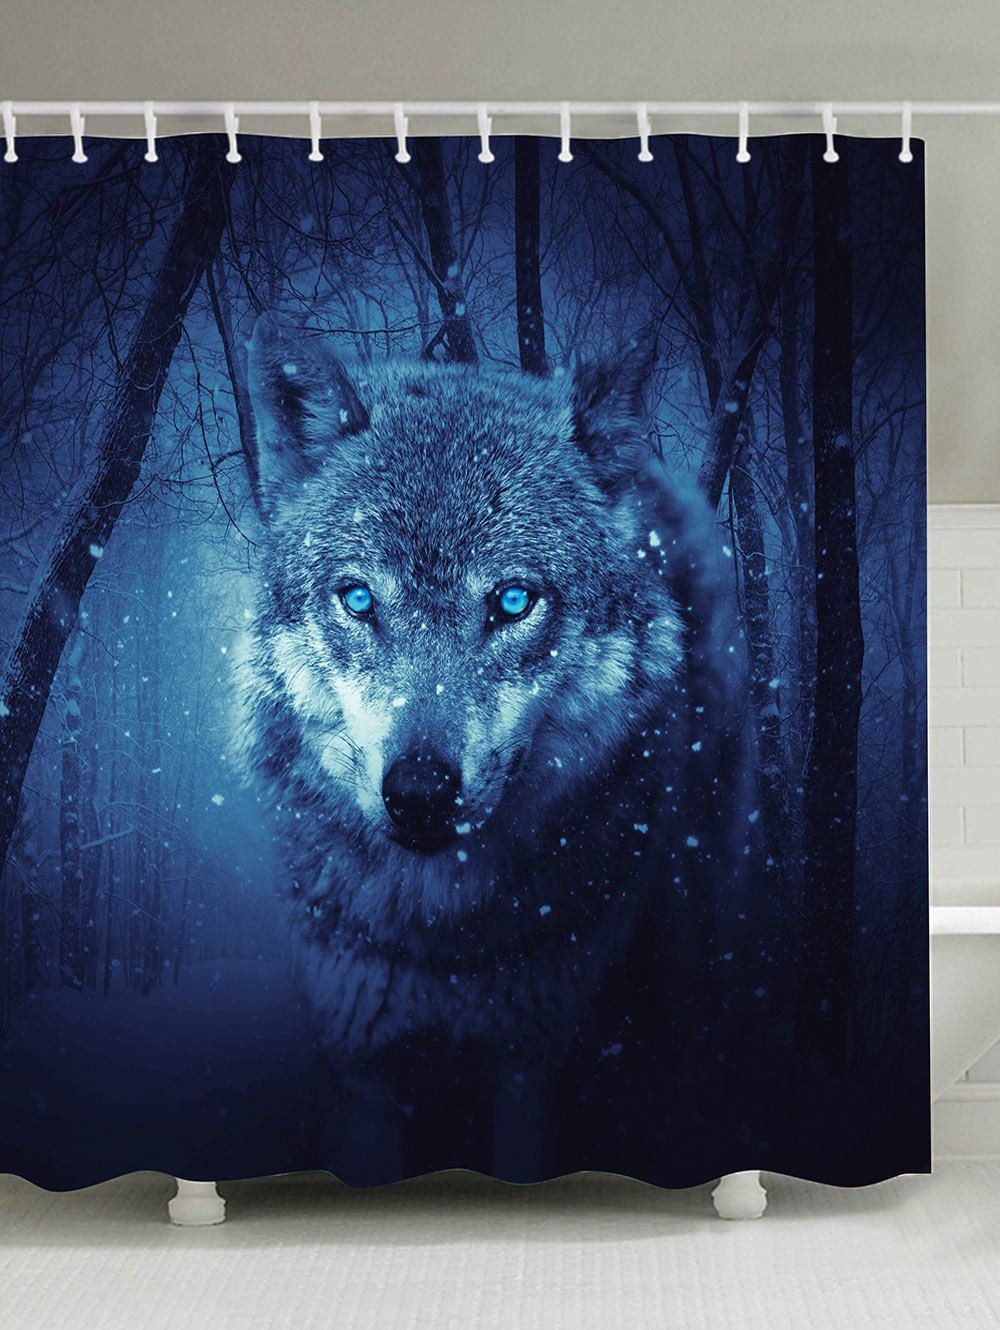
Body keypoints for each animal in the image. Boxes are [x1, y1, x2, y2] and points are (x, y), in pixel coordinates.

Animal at [240, 314, 744, 1182]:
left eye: (511, 602)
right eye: (359, 599)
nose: (418, 792)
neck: (442, 940)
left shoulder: (531, 1064)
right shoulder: (360, 1065)